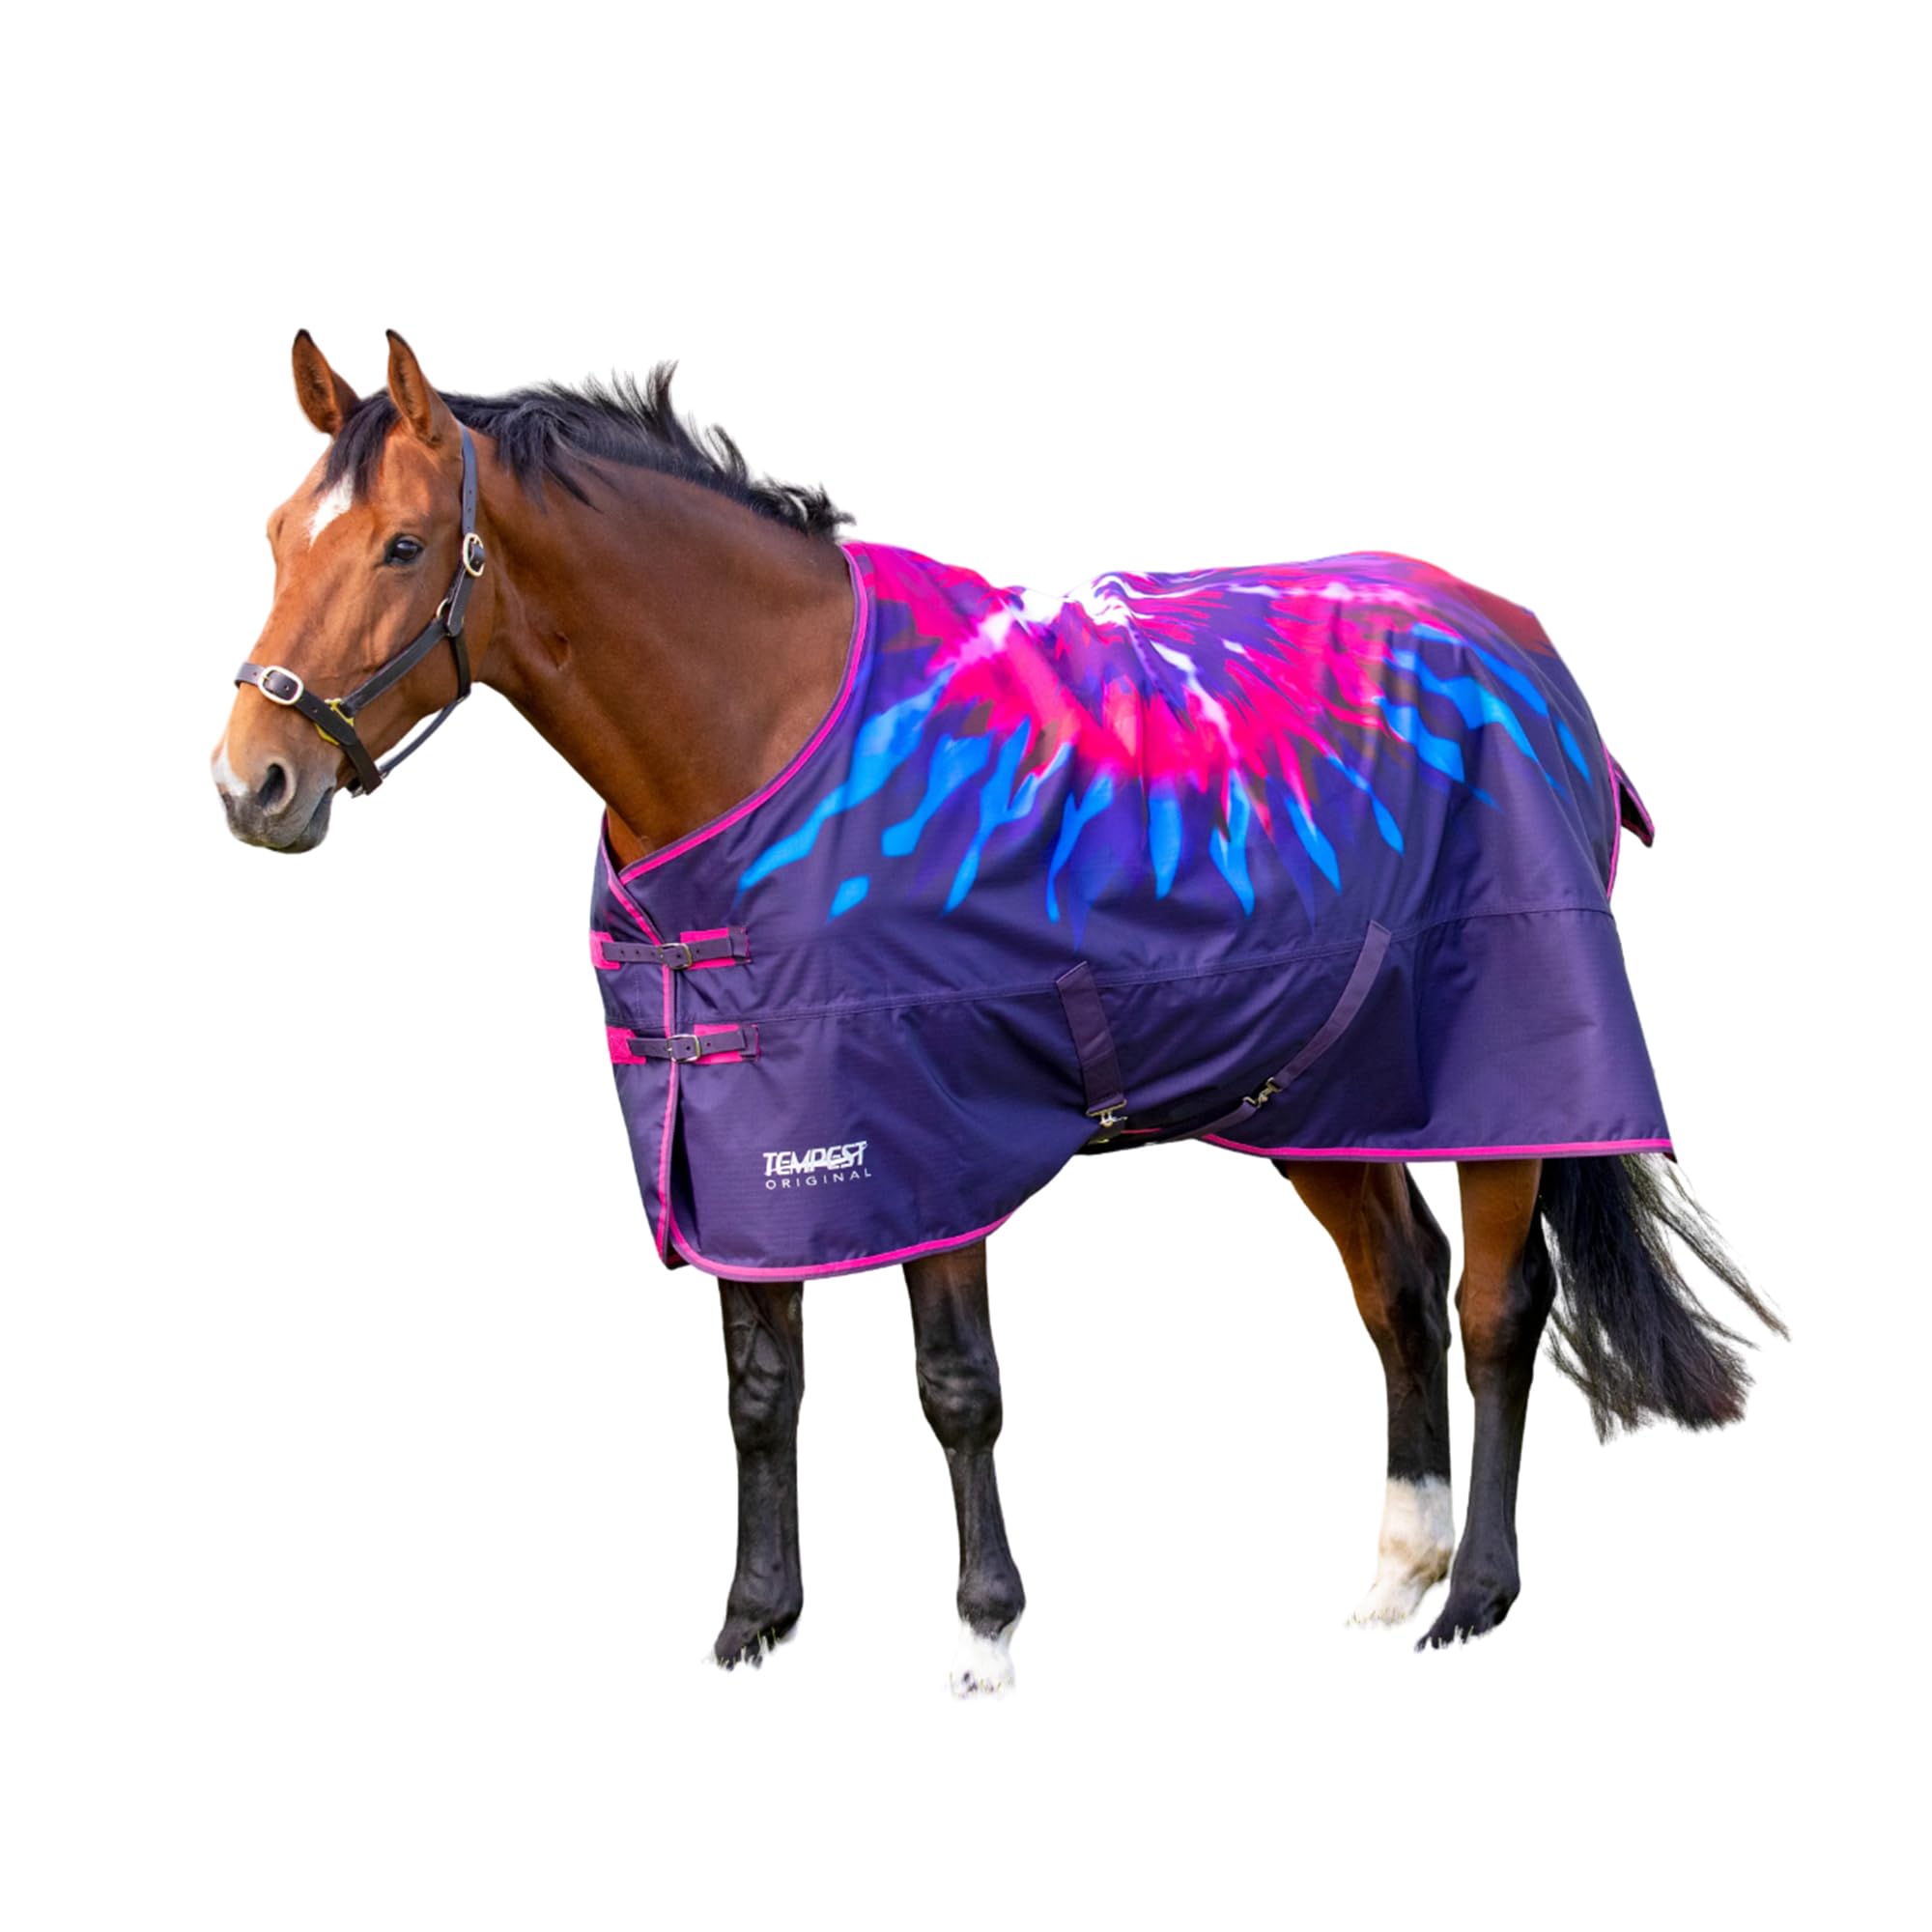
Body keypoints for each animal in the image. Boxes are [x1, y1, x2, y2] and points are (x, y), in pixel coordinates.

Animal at [214, 330, 1780, 1691]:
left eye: (402, 546)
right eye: (283, 537)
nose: (252, 782)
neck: (766, 730)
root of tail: (1522, 650)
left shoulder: (931, 1136)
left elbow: (956, 1385)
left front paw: (985, 1633)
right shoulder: (743, 1142)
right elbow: (759, 1389)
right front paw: (753, 1623)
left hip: (1502, 1072)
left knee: (1495, 1304)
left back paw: (1474, 1599)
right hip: (1322, 1090)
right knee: (1397, 1290)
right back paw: (1397, 1568)